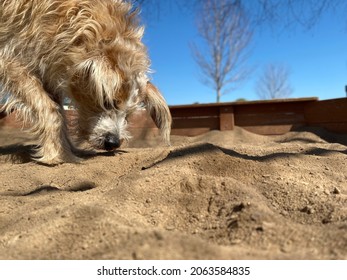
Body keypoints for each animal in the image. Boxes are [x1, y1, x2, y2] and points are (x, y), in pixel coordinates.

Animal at [0, 0, 173, 165]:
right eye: (107, 102)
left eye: (129, 114)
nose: (114, 143)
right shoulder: (9, 59)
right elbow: (50, 109)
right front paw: (56, 154)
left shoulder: (50, 72)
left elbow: (60, 114)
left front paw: (67, 150)